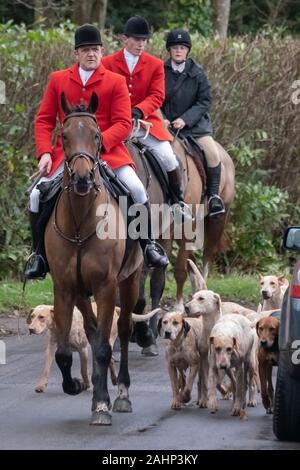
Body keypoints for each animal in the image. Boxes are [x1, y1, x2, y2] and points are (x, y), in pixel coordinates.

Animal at [44, 92, 143, 426]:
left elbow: (102, 347)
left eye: (97, 135)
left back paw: (121, 394)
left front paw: (102, 404)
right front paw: (75, 385)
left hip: (130, 281)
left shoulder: (106, 287)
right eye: (63, 136)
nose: (83, 179)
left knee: (122, 330)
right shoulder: (64, 288)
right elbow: (65, 352)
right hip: (81, 293)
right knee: (91, 330)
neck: (80, 222)